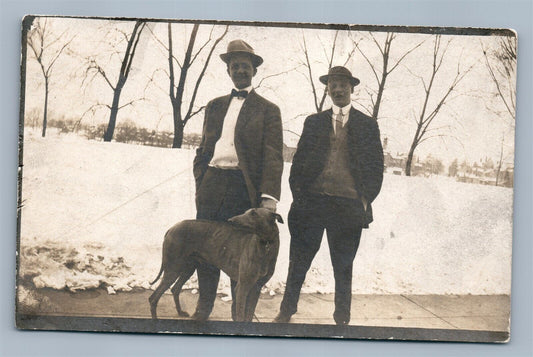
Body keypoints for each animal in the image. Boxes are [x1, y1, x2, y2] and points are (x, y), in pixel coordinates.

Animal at [148, 207, 282, 322]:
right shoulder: (242, 287)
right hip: (173, 268)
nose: (231, 220)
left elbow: (249, 315)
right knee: (153, 298)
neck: (265, 245)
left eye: (254, 213)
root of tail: (171, 228)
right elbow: (240, 315)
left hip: (188, 267)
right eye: (246, 211)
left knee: (175, 289)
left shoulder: (256, 288)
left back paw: (181, 312)